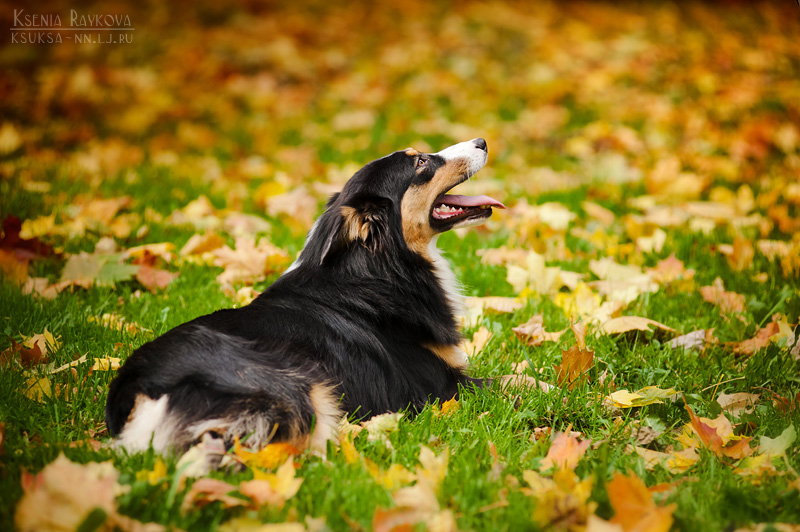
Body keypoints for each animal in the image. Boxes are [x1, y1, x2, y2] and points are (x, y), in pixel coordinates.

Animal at [104, 137, 506, 454]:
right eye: (420, 162)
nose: (483, 141)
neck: (380, 268)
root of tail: (138, 396)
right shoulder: (445, 387)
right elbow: (514, 381)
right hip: (298, 387)